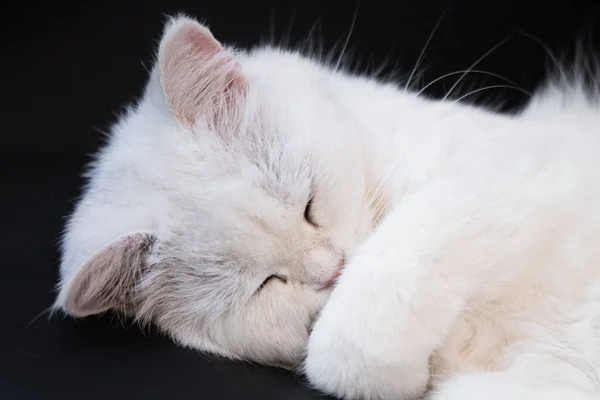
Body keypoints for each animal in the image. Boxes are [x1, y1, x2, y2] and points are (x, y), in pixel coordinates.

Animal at [51, 14, 600, 398]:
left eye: (309, 205)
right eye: (266, 284)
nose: (335, 269)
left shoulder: (504, 171)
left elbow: (365, 305)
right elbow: (337, 361)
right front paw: (412, 375)